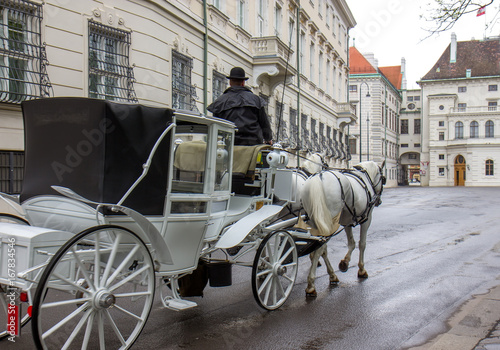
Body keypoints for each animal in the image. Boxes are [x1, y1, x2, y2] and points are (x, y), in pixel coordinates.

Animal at [298, 161, 384, 296]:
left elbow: (351, 243)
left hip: (314, 220)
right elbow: (362, 244)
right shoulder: (366, 219)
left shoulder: (347, 222)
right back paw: (311, 284)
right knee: (320, 249)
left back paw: (331, 276)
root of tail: (319, 178)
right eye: (383, 179)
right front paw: (361, 269)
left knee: (320, 247)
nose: (378, 201)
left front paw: (345, 263)